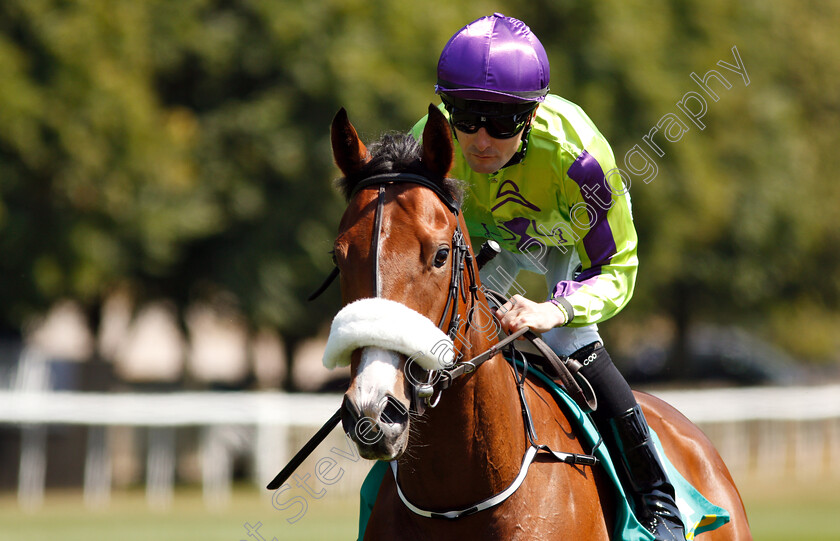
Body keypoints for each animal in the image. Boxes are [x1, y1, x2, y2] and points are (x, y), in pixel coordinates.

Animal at [324, 105, 752, 540]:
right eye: (338, 256)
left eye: (441, 255)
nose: (374, 411)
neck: (457, 499)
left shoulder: (590, 173)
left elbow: (613, 263)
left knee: (582, 345)